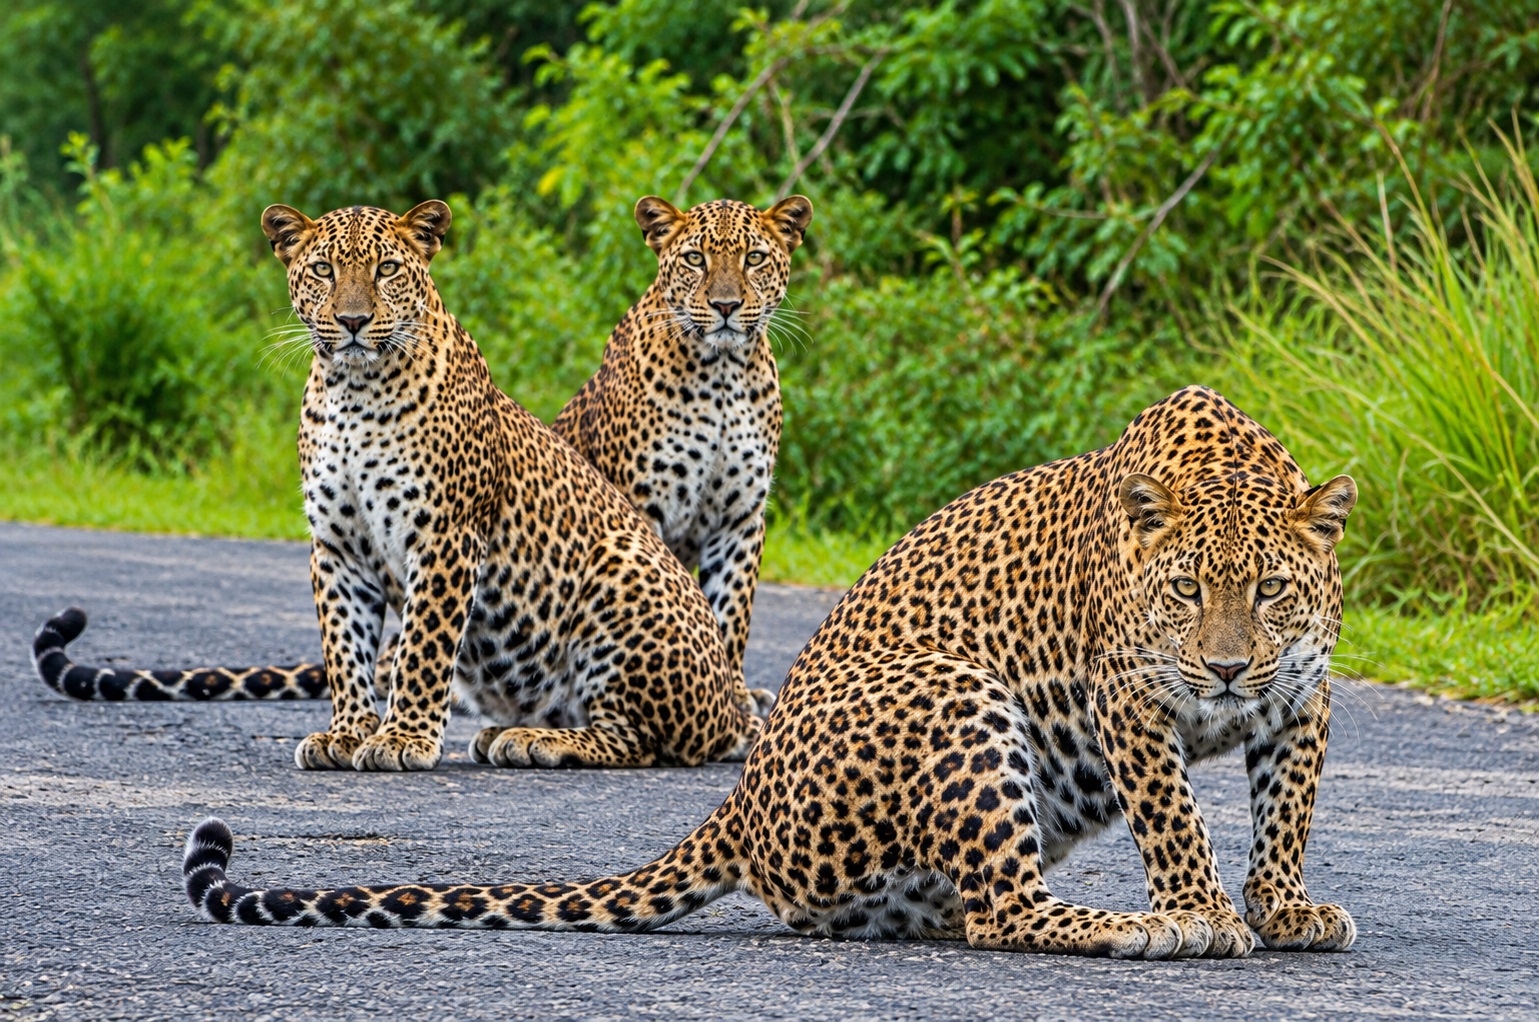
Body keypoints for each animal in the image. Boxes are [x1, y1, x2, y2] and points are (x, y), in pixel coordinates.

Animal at [31, 196, 811, 712]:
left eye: (754, 258)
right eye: (694, 259)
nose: (725, 306)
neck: (720, 372)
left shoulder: (741, 520)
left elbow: (730, 618)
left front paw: (732, 702)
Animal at [181, 385, 1360, 958]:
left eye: (1269, 589)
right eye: (1184, 591)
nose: (1224, 669)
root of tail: (742, 798)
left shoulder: (1302, 698)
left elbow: (1285, 811)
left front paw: (1286, 907)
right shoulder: (1130, 700)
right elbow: (1173, 815)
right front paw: (1203, 909)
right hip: (952, 691)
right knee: (1005, 909)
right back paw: (1132, 927)